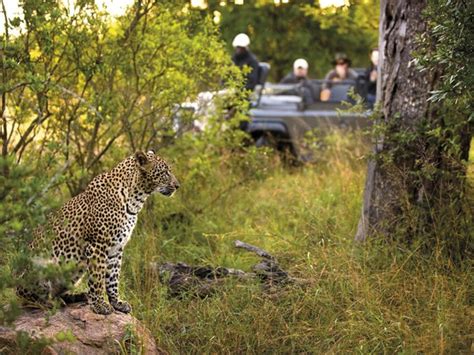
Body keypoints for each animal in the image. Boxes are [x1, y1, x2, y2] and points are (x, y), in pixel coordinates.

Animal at [17, 152, 180, 316]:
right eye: (165, 172)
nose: (178, 186)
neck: (135, 200)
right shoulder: (98, 245)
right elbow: (97, 278)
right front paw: (100, 305)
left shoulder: (116, 248)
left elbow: (113, 278)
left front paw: (117, 303)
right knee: (28, 299)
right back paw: (50, 303)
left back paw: (76, 296)